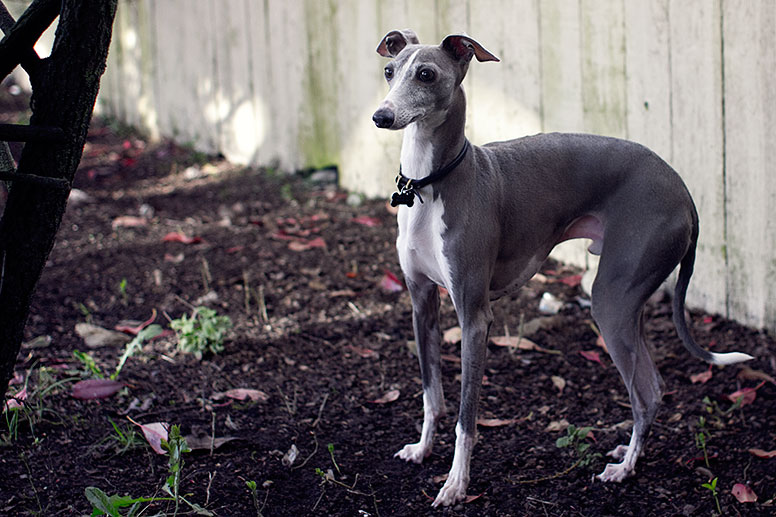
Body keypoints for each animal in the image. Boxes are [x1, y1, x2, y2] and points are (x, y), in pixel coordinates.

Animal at [372, 28, 756, 504]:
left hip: (611, 300)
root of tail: (682, 189)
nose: (381, 116)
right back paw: (627, 451)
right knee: (653, 386)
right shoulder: (421, 303)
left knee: (647, 391)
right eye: (389, 71)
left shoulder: (474, 316)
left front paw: (456, 484)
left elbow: (466, 415)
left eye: (426, 74)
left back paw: (624, 469)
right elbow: (432, 394)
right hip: (629, 298)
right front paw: (423, 449)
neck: (430, 184)